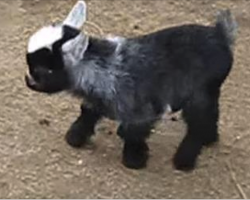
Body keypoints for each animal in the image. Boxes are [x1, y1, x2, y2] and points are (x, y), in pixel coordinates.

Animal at [25, 1, 238, 170]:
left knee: (197, 124)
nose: (29, 80)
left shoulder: (141, 109)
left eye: (46, 71)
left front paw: (134, 159)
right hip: (210, 91)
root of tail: (221, 34)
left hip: (200, 93)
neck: (105, 66)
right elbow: (87, 114)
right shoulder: (98, 100)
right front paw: (75, 138)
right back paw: (210, 139)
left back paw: (184, 161)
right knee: (211, 113)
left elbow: (133, 132)